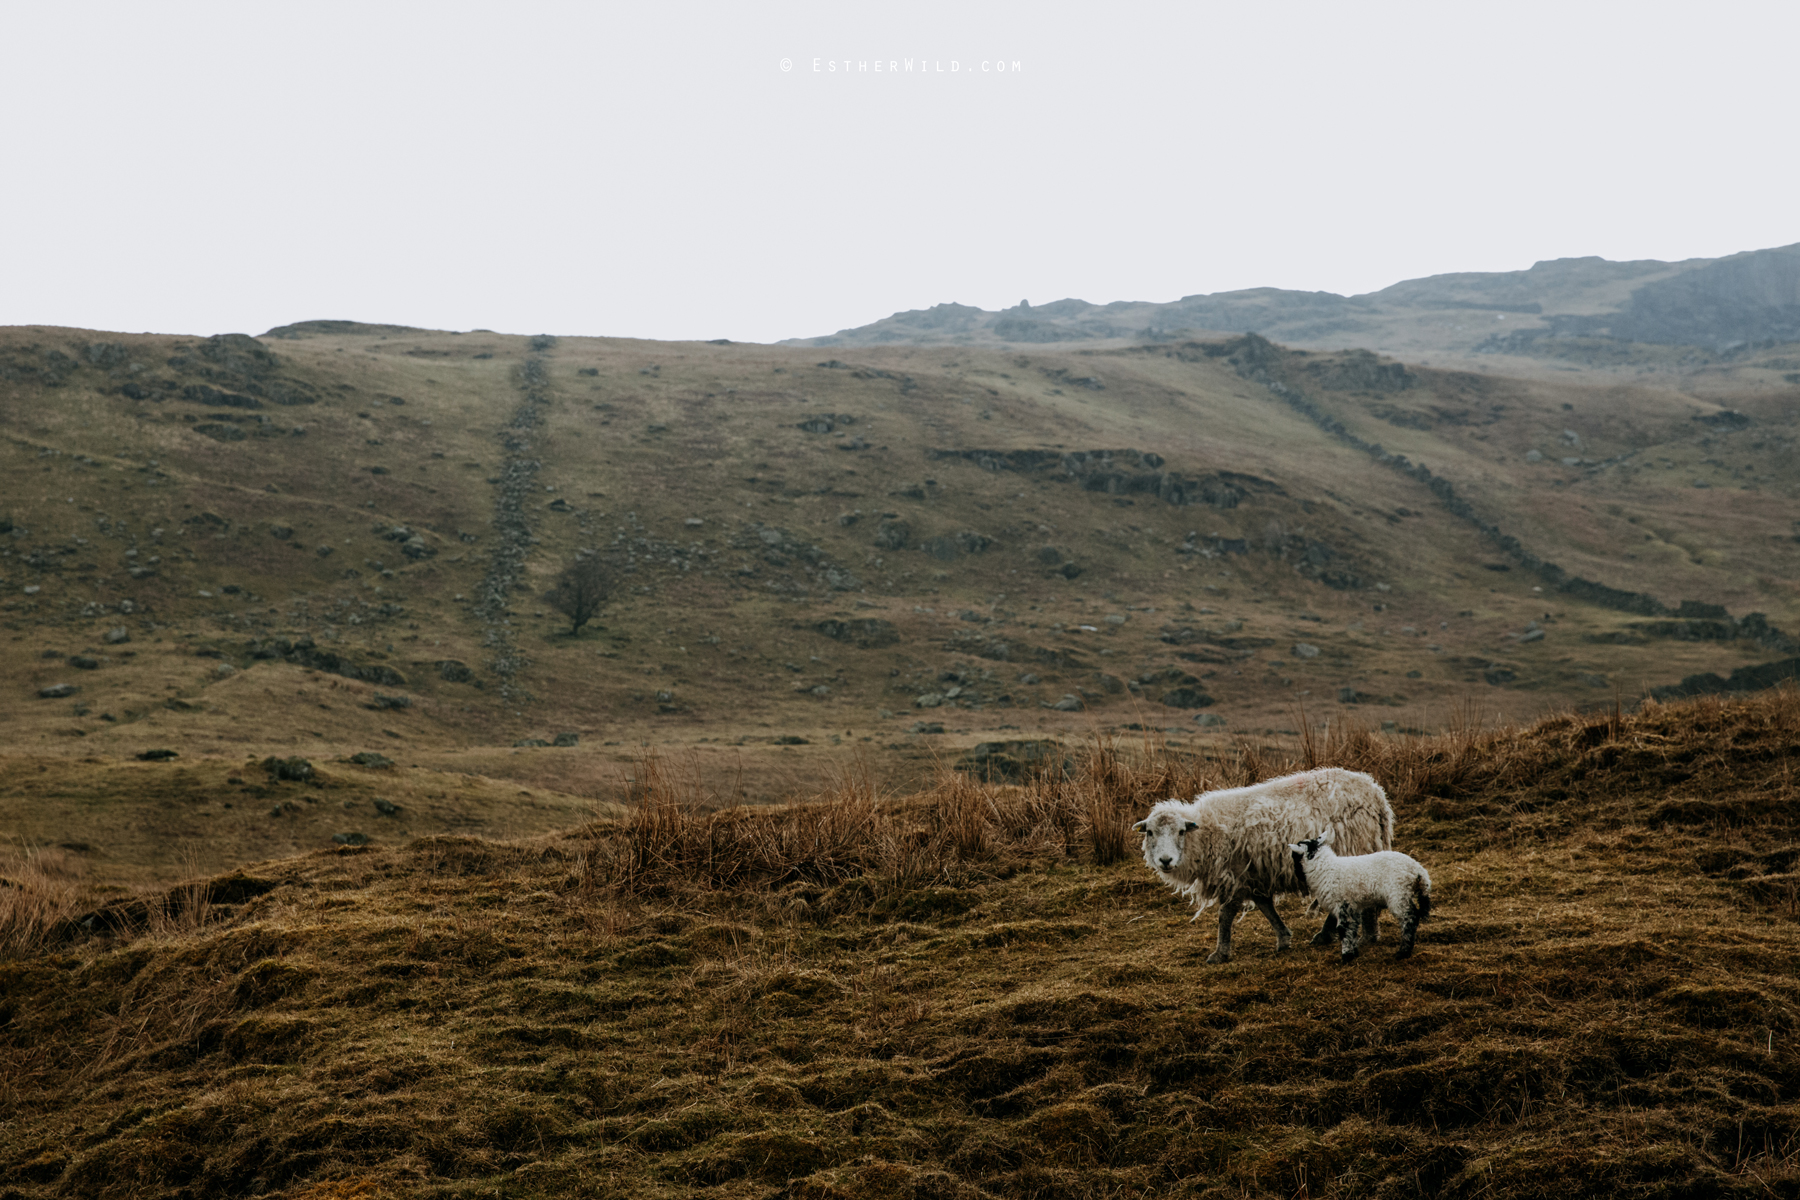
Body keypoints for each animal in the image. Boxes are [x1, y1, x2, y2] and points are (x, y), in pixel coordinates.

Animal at [1130, 770, 1396, 964]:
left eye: (1181, 831)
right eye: (1150, 832)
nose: (1165, 861)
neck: (1206, 835)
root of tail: (1376, 795)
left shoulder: (1235, 876)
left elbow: (1225, 915)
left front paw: (1220, 953)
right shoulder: (1253, 876)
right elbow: (1265, 906)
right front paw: (1283, 938)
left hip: (1355, 846)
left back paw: (1355, 936)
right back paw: (1350, 935)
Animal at [1296, 827, 1432, 964]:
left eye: (1294, 856)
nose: (1298, 876)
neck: (1326, 868)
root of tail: (1418, 870)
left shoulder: (1343, 903)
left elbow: (1344, 928)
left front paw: (1346, 956)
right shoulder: (1352, 905)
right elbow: (1352, 928)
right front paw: (1354, 953)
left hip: (1398, 894)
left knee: (1410, 918)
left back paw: (1403, 952)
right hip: (1404, 894)